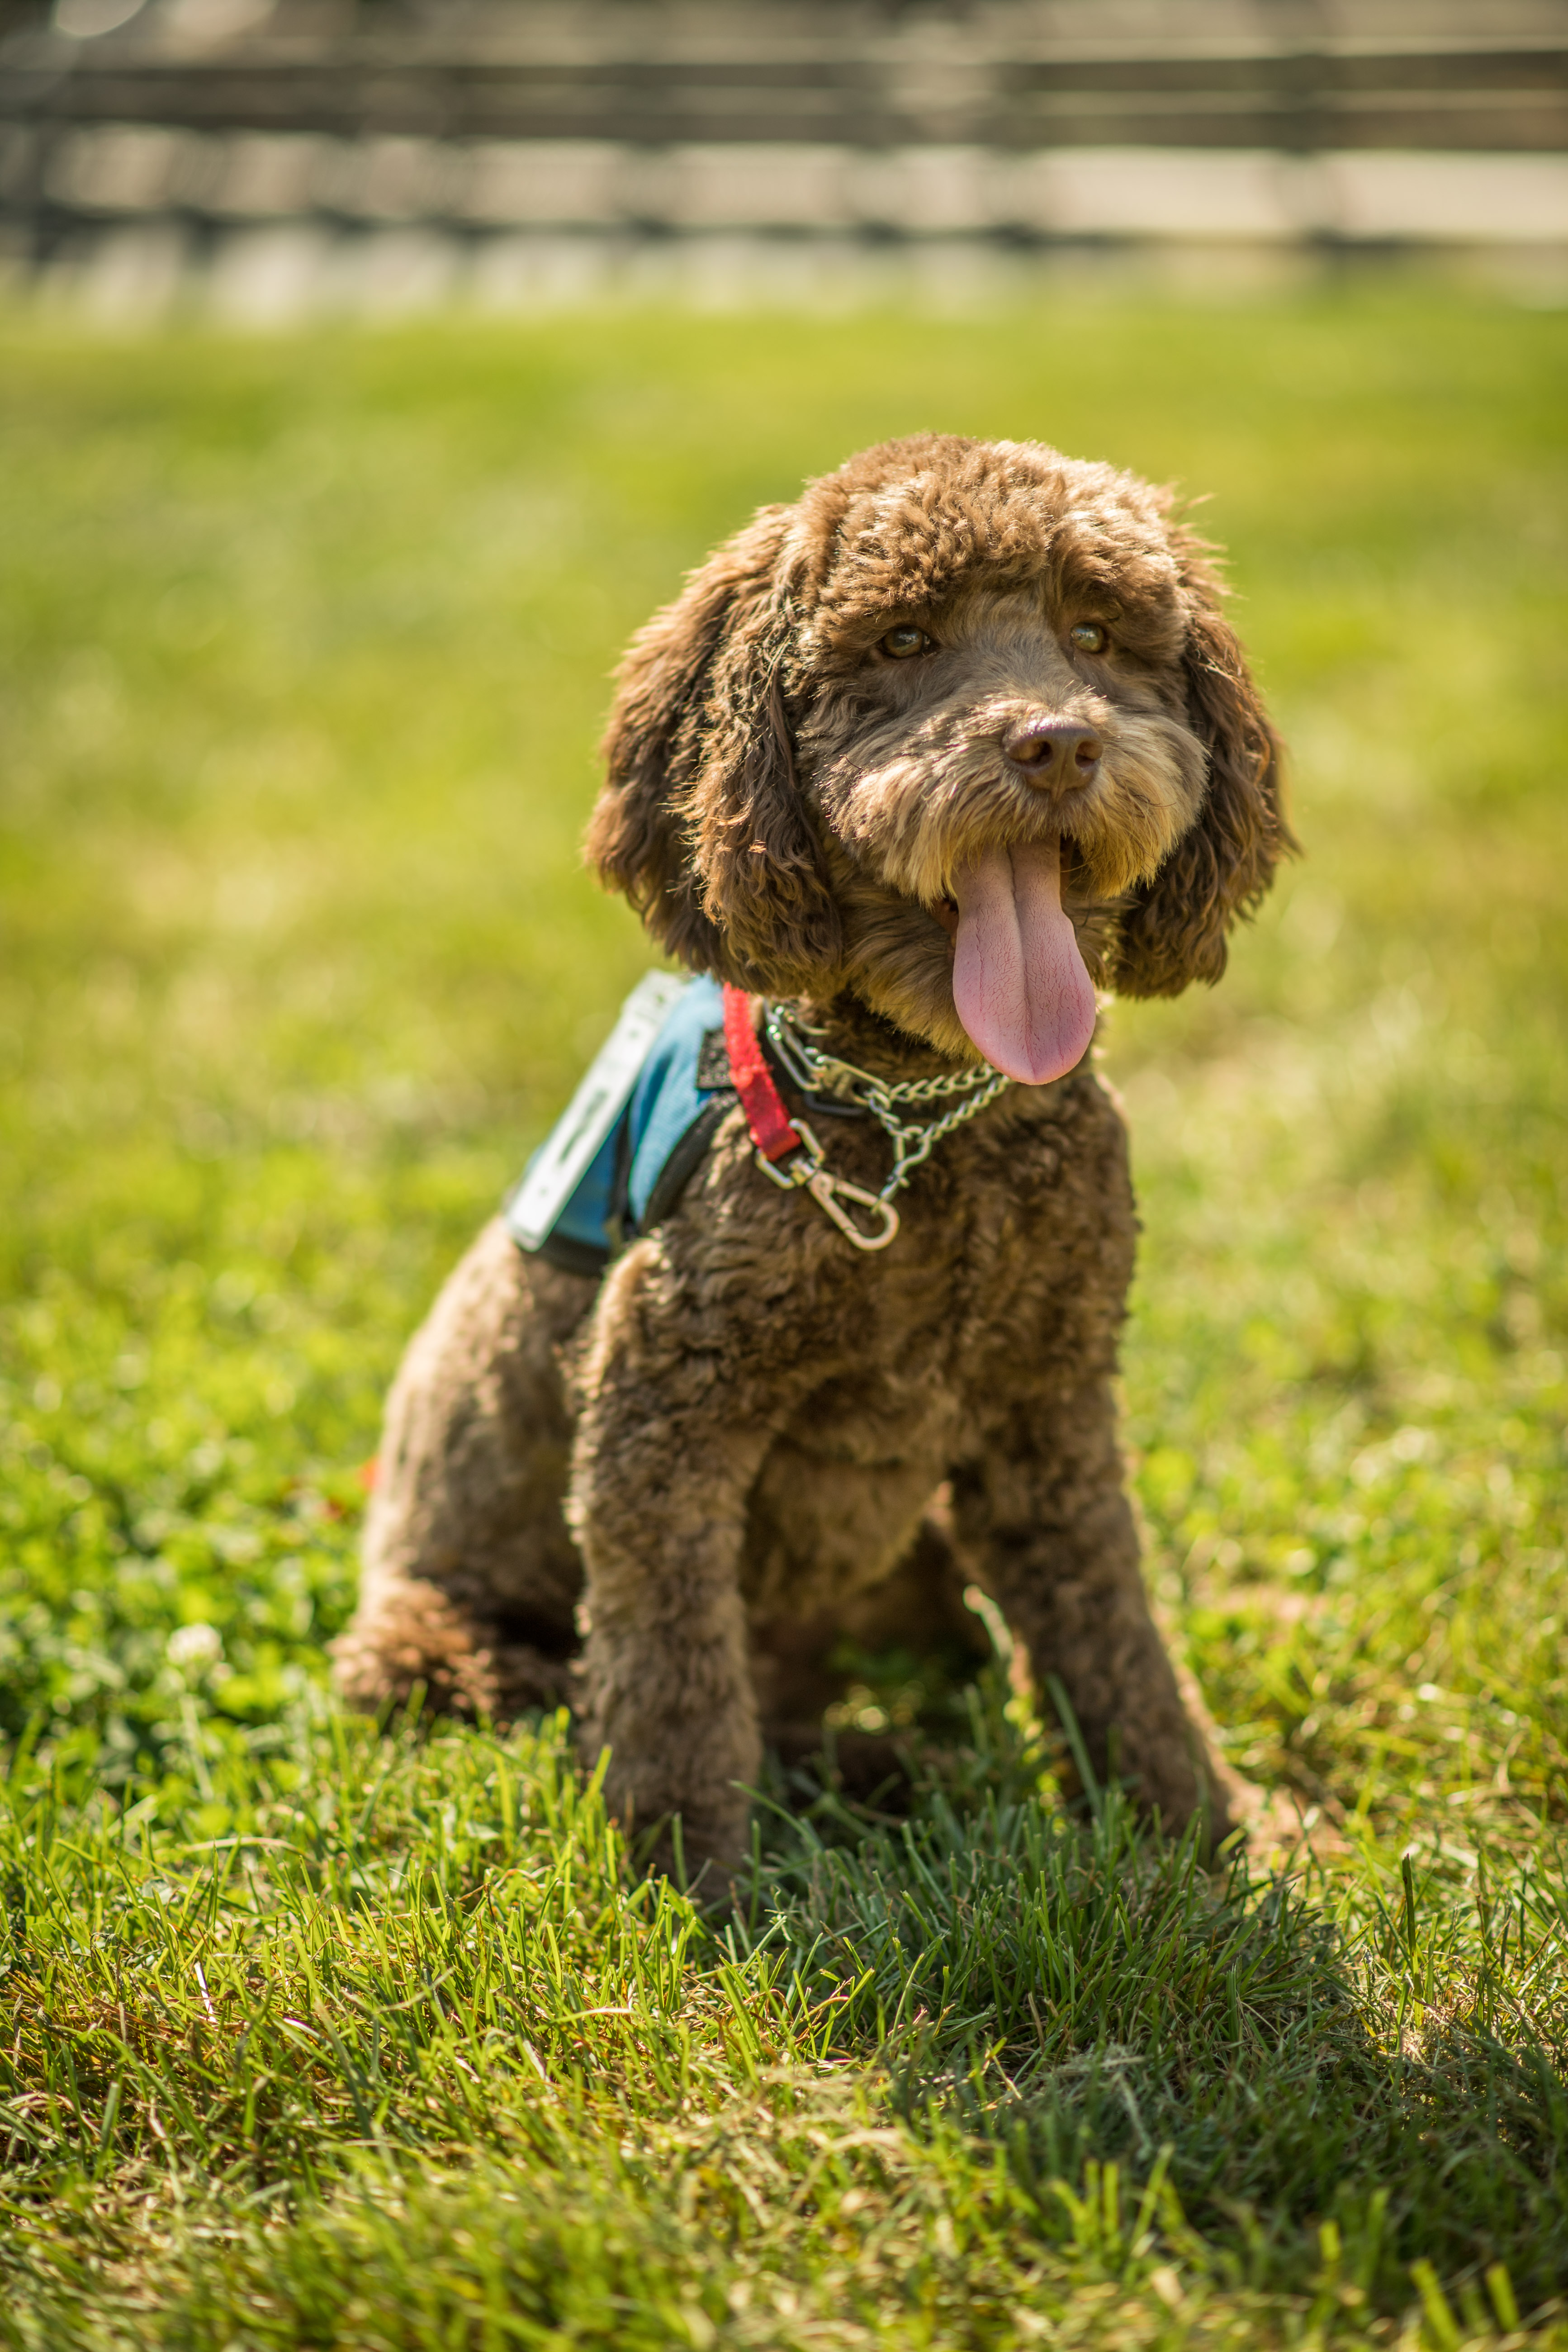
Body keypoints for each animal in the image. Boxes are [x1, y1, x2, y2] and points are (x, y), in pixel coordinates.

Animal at [338, 437, 1298, 1872]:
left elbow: (1113, 1633)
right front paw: (690, 1871)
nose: (1058, 741)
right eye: (902, 639)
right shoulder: (662, 1418)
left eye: (1093, 635)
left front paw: (1196, 1827)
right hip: (443, 1645)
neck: (915, 1119)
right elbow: (674, 1672)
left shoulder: (1051, 1414)